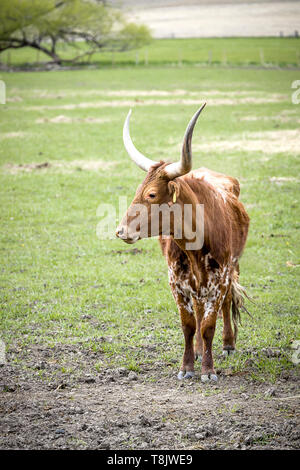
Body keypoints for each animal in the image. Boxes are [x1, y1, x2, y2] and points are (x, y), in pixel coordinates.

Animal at [116, 105, 250, 382]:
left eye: (152, 194)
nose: (120, 231)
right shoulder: (177, 283)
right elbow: (189, 325)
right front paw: (187, 366)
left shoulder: (219, 281)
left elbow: (209, 325)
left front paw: (208, 370)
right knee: (198, 311)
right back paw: (198, 351)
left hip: (233, 268)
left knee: (225, 305)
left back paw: (228, 344)